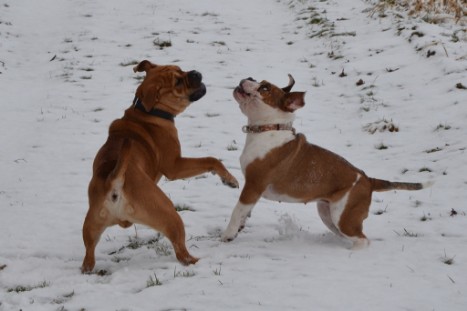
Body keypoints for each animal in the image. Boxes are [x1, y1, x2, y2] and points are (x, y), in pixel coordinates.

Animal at [80, 60, 239, 272]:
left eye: (179, 68)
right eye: (178, 82)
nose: (195, 73)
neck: (147, 112)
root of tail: (114, 183)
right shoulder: (174, 166)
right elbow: (211, 159)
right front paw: (230, 180)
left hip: (91, 226)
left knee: (88, 257)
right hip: (169, 213)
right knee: (182, 253)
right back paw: (199, 262)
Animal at [221, 75, 434, 249]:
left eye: (264, 88)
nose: (248, 78)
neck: (270, 129)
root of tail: (368, 180)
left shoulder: (253, 186)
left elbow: (236, 211)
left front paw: (226, 236)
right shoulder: (253, 192)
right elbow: (244, 213)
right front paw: (238, 229)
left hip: (344, 218)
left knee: (363, 240)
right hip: (328, 214)